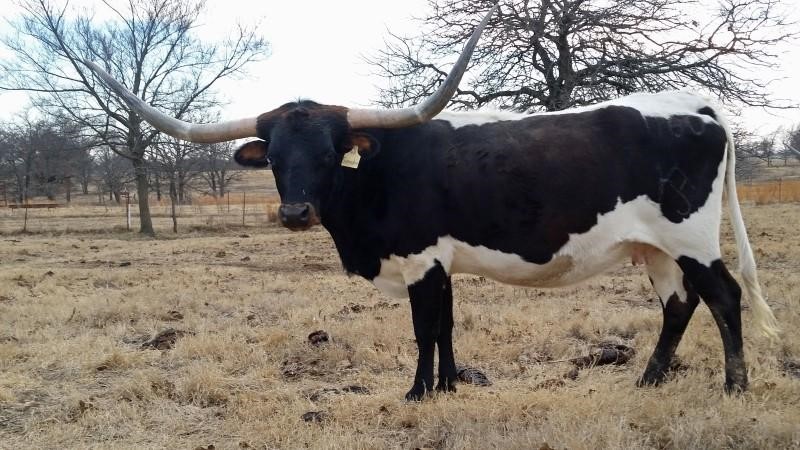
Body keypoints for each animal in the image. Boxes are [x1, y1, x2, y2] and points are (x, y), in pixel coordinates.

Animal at [84, 5, 780, 400]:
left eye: (332, 151)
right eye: (275, 156)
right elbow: (446, 324)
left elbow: (423, 327)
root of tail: (696, 105)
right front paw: (449, 385)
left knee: (723, 298)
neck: (375, 177)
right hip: (655, 248)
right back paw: (648, 379)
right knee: (678, 305)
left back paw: (735, 388)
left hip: (691, 238)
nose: (294, 214)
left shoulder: (420, 260)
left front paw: (419, 392)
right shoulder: (443, 262)